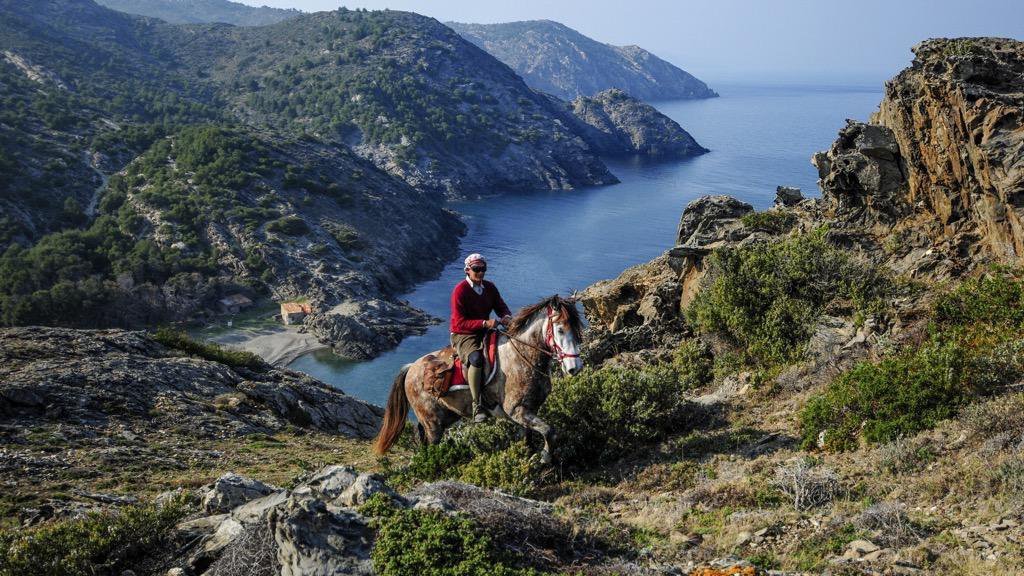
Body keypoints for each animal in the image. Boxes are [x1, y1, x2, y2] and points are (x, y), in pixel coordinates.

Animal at [374, 293, 585, 463]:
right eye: (560, 329)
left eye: (577, 329)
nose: (574, 368)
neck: (522, 356)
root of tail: (411, 368)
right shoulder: (517, 410)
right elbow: (549, 431)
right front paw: (545, 457)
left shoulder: (529, 410)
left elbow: (529, 436)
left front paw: (529, 455)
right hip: (433, 423)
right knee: (431, 444)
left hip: (445, 416)